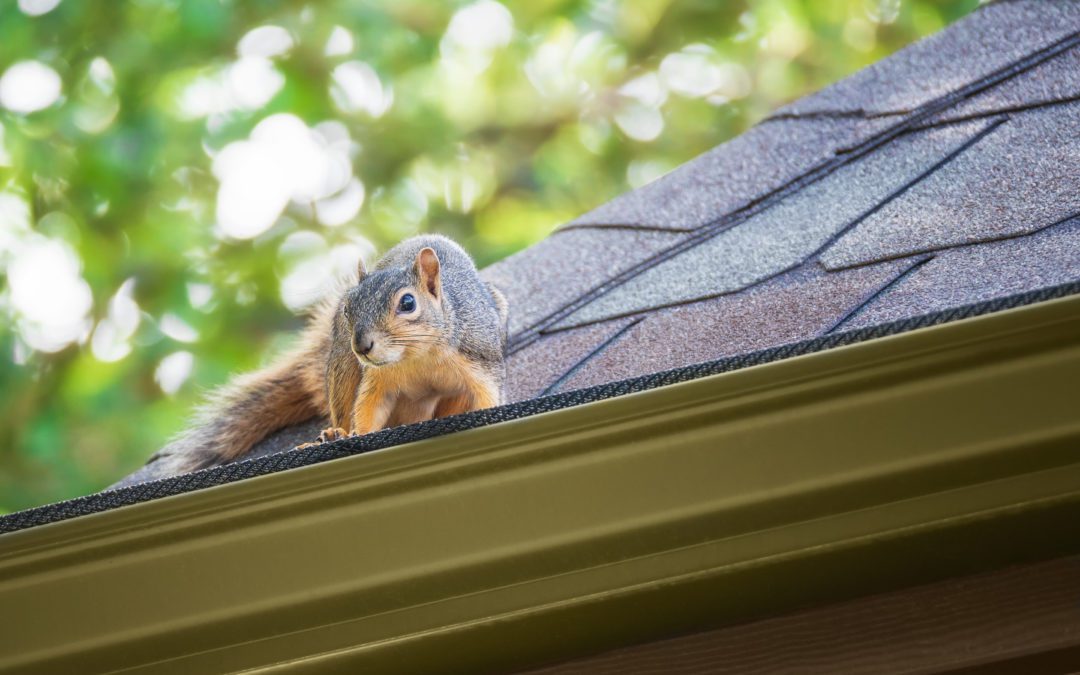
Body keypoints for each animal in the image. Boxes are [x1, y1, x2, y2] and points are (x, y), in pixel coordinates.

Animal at [149, 234, 508, 476]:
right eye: (348, 307)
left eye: (408, 303)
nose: (362, 346)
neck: (416, 357)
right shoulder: (377, 380)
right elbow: (368, 409)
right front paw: (356, 435)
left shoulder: (479, 361)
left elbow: (488, 396)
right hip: (341, 368)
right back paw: (335, 432)